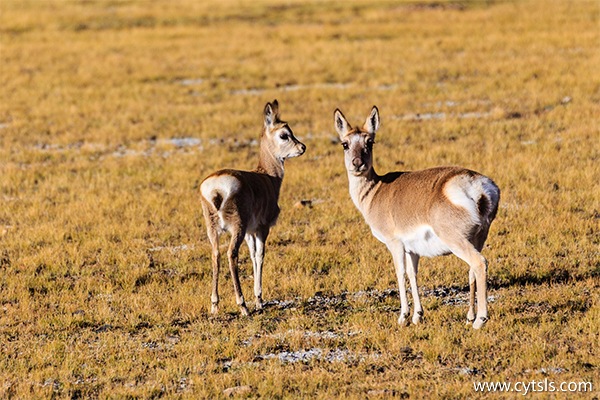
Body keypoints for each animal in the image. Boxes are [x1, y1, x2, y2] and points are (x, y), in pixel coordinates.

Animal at [200, 100, 304, 316]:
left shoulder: (250, 231)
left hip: (213, 230)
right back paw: (243, 306)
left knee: (216, 255)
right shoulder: (262, 229)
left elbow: (252, 256)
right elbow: (259, 256)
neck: (266, 177)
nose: (302, 147)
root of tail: (215, 188)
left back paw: (214, 306)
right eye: (284, 134)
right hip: (236, 230)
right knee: (231, 255)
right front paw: (259, 300)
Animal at [336, 106, 500, 328]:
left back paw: (480, 320)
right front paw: (417, 316)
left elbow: (400, 273)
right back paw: (469, 317)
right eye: (345, 144)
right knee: (471, 270)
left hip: (457, 241)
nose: (357, 164)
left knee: (479, 263)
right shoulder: (412, 250)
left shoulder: (395, 243)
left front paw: (403, 317)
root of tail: (478, 187)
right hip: (477, 239)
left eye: (369, 142)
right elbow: (413, 275)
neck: (376, 191)